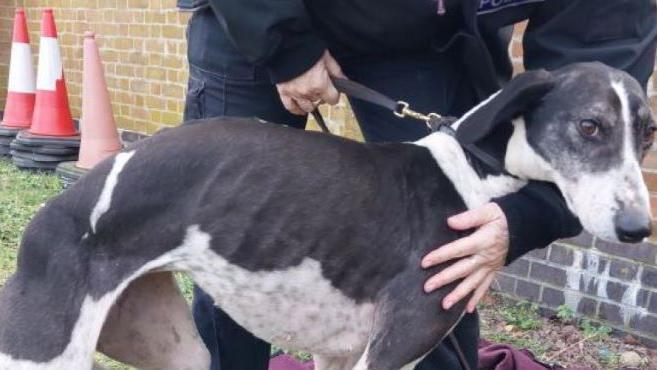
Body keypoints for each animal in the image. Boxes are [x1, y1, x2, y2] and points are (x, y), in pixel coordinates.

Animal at [0, 62, 652, 368]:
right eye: (590, 126)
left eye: (647, 132)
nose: (637, 230)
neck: (471, 169)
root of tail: (60, 208)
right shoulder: (387, 354)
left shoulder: (340, 354)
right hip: (43, 351)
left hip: (172, 347)